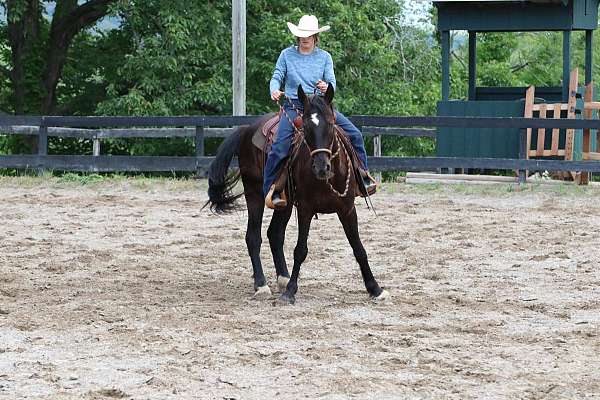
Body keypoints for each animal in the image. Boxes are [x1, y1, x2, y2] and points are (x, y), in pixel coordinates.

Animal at [203, 83, 390, 304]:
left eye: (331, 124)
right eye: (306, 128)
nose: (322, 167)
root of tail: (246, 129)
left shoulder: (347, 209)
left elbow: (358, 248)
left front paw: (375, 289)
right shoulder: (305, 209)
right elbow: (300, 250)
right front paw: (291, 291)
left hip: (284, 202)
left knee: (274, 234)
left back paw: (282, 277)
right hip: (254, 194)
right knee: (253, 237)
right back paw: (261, 284)